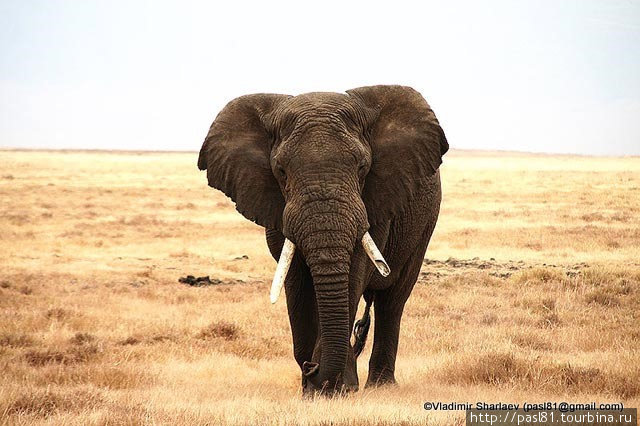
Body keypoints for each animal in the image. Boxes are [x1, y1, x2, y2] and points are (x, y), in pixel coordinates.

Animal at [198, 84, 448, 396]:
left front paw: (338, 389)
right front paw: (313, 390)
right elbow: (296, 282)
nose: (311, 368)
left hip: (424, 225)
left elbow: (354, 273)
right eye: (281, 171)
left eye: (363, 168)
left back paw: (381, 385)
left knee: (393, 301)